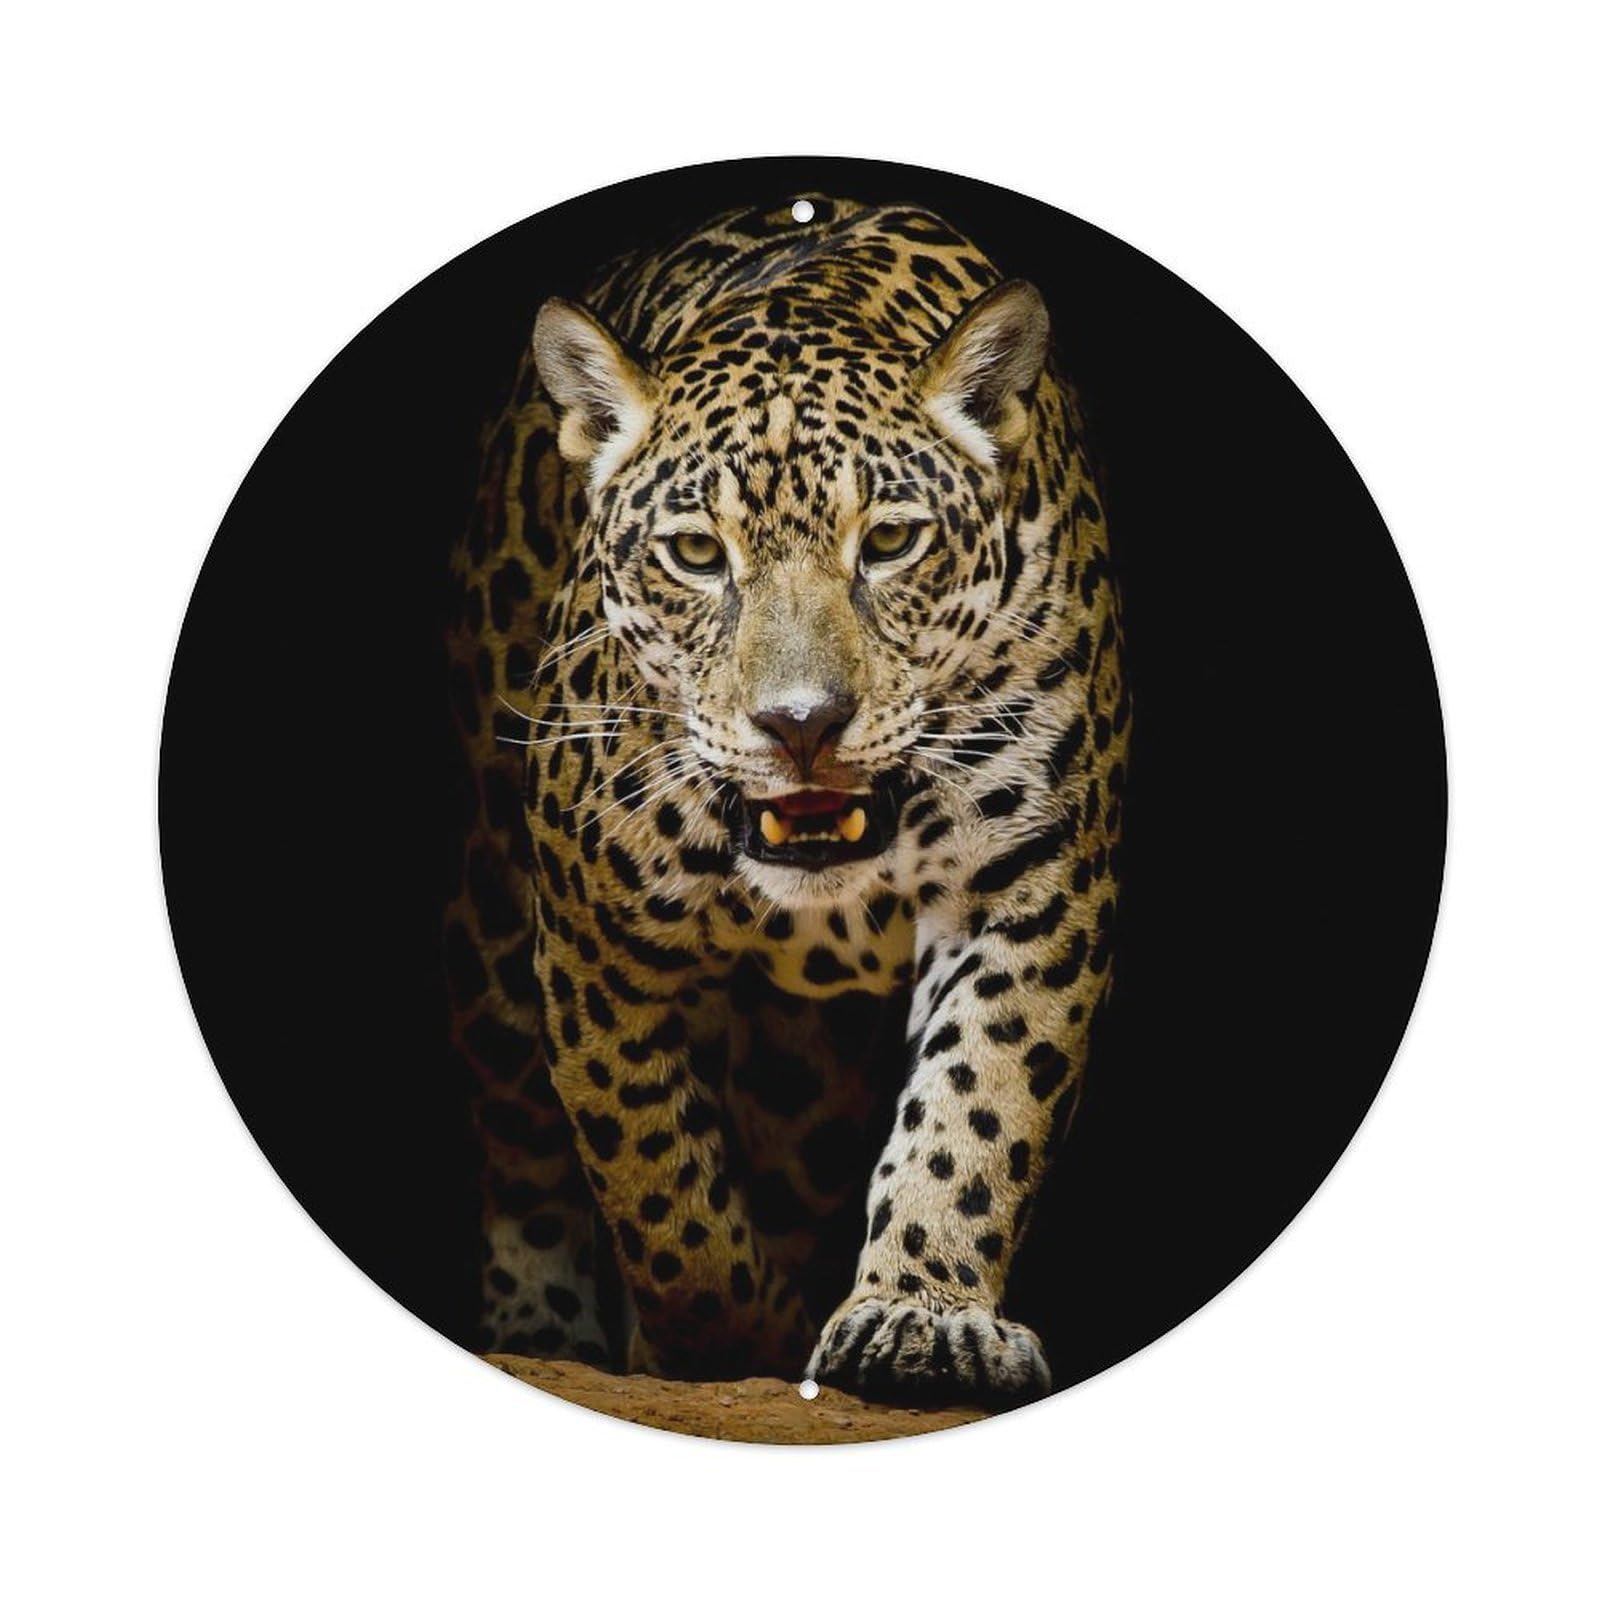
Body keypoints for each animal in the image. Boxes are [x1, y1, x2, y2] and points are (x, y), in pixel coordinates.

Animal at [443, 193, 1128, 1406]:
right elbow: (656, 1181)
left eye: (891, 541)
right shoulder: (591, 937)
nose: (802, 723)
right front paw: (726, 1343)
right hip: (489, 920)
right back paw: (541, 1329)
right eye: (695, 553)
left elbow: (980, 1102)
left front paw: (919, 1317)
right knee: (521, 1137)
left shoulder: (1032, 886)